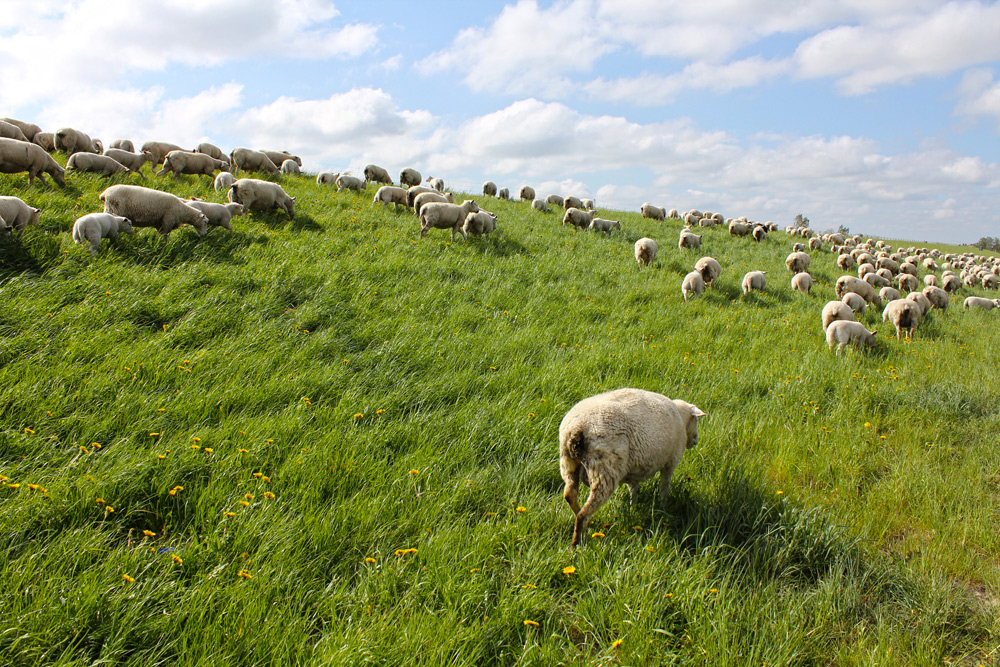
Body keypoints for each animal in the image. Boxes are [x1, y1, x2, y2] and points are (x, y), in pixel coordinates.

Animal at [560, 386, 708, 548]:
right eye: (696, 420)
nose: (695, 440)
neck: (680, 416)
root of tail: (577, 429)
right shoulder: (671, 461)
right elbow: (664, 486)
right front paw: (663, 506)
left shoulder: (635, 468)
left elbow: (634, 489)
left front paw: (633, 507)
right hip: (604, 469)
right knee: (584, 514)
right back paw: (576, 543)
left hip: (568, 463)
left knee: (569, 494)